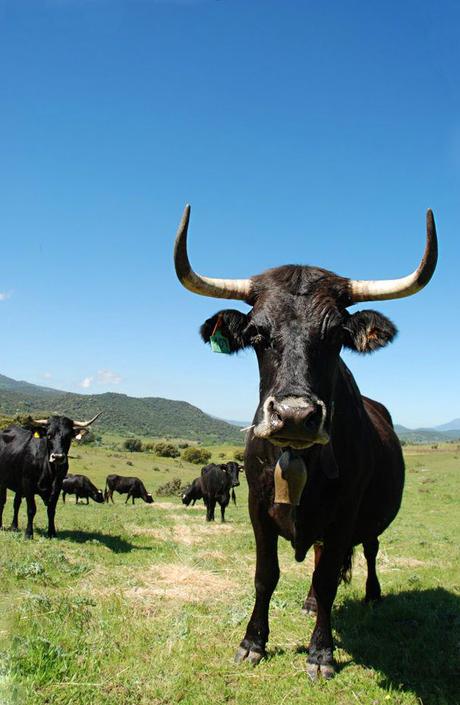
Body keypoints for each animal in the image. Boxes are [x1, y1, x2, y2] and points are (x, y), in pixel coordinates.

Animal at [173, 205, 437, 680]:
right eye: (257, 334)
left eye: (335, 336)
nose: (295, 414)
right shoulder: (257, 508)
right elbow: (266, 575)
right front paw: (253, 642)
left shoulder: (346, 512)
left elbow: (331, 576)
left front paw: (321, 653)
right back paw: (310, 604)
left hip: (370, 519)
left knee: (369, 551)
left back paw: (371, 595)